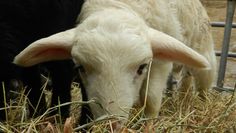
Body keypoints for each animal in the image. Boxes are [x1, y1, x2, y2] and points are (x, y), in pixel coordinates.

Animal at [12, 0, 216, 128]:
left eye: (141, 67)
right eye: (80, 68)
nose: (111, 124)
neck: (116, 6)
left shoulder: (160, 62)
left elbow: (150, 98)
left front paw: (148, 124)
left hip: (203, 46)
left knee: (203, 82)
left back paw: (203, 104)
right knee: (187, 79)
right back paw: (183, 99)